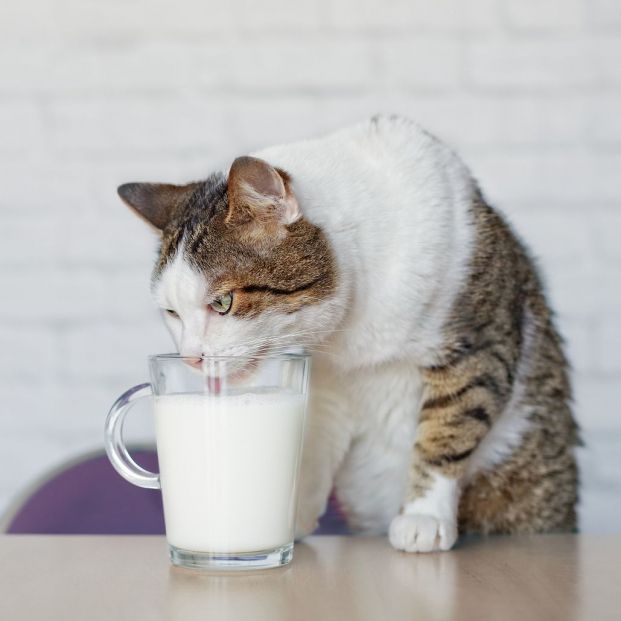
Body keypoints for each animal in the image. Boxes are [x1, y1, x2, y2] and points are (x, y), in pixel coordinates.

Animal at [118, 114, 580, 548]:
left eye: (222, 303)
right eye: (172, 313)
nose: (192, 356)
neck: (347, 334)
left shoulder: (475, 342)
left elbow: (450, 425)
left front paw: (424, 516)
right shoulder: (325, 383)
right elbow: (311, 445)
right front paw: (290, 516)